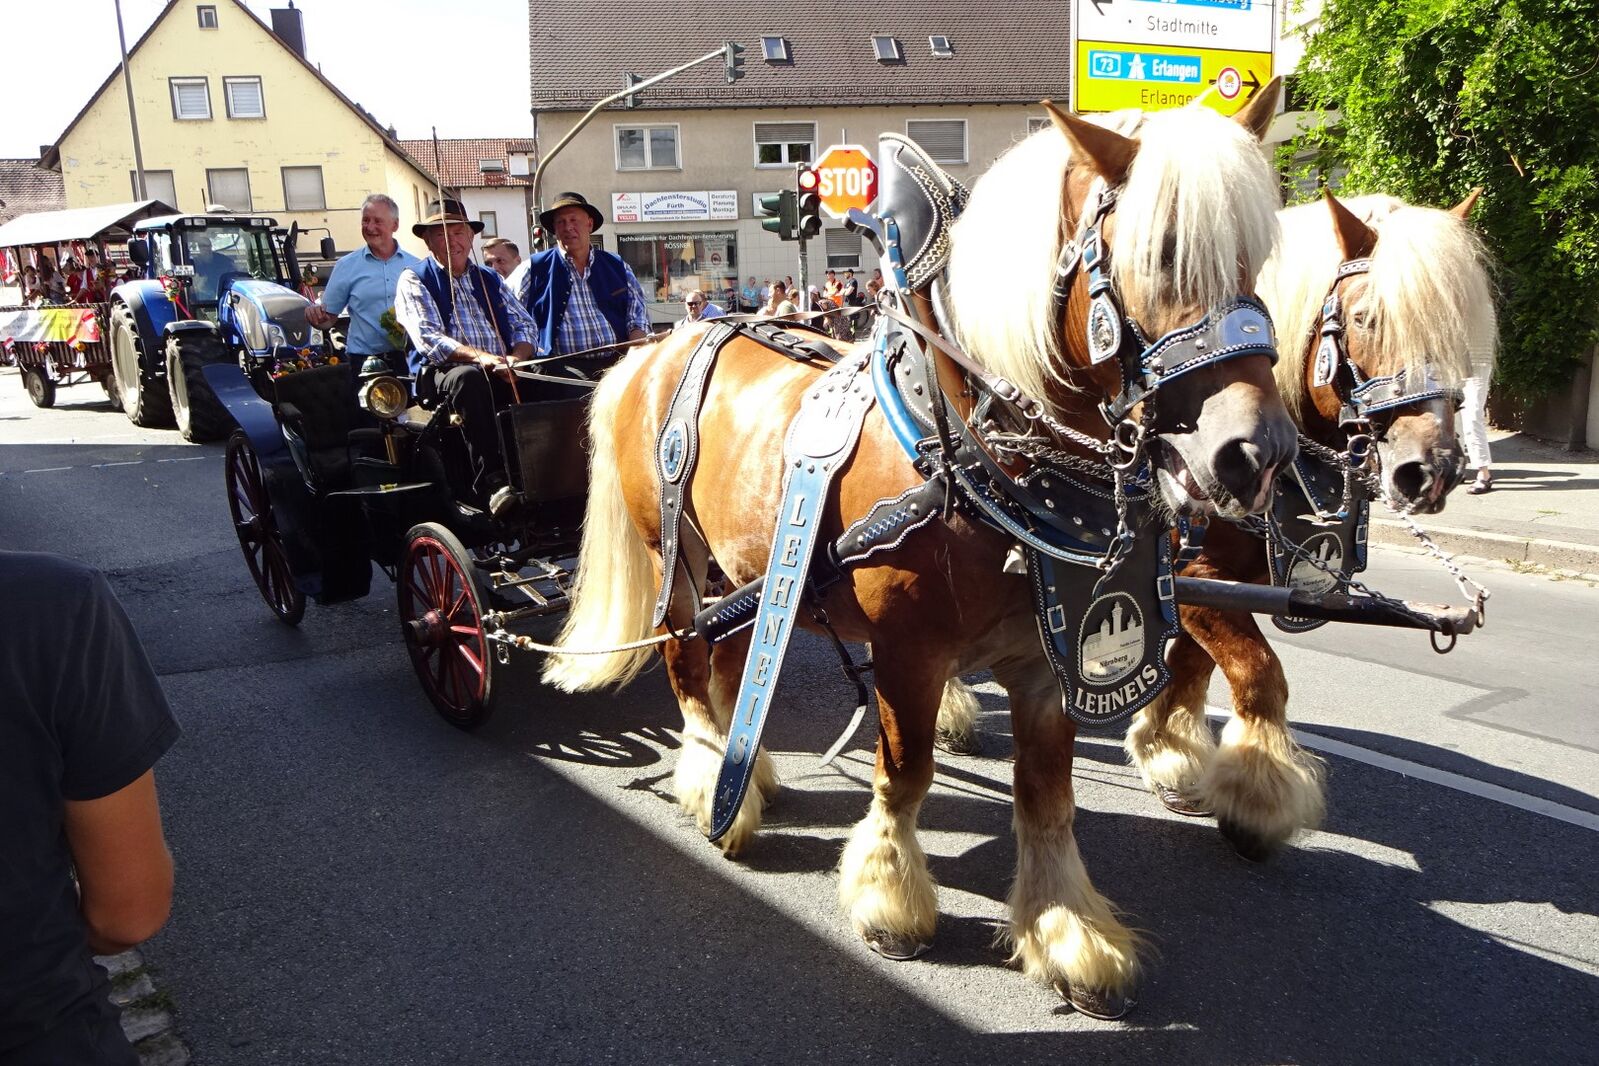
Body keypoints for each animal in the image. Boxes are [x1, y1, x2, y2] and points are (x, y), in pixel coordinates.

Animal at [543, 86, 1294, 1018]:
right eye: (1158, 253)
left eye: (1256, 257)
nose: (1255, 454)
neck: (975, 443)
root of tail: (653, 349)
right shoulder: (910, 650)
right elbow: (904, 773)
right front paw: (889, 898)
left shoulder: (1047, 657)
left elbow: (1046, 795)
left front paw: (1064, 928)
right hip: (672, 556)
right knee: (686, 661)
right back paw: (712, 778)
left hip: (742, 565)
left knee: (729, 658)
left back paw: (743, 774)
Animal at [1113, 189, 1497, 859]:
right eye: (1367, 318)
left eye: (1455, 335)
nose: (1432, 471)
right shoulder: (1195, 577)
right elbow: (1260, 674)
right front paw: (1257, 798)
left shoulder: (1215, 584)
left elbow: (1191, 669)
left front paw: (1170, 756)